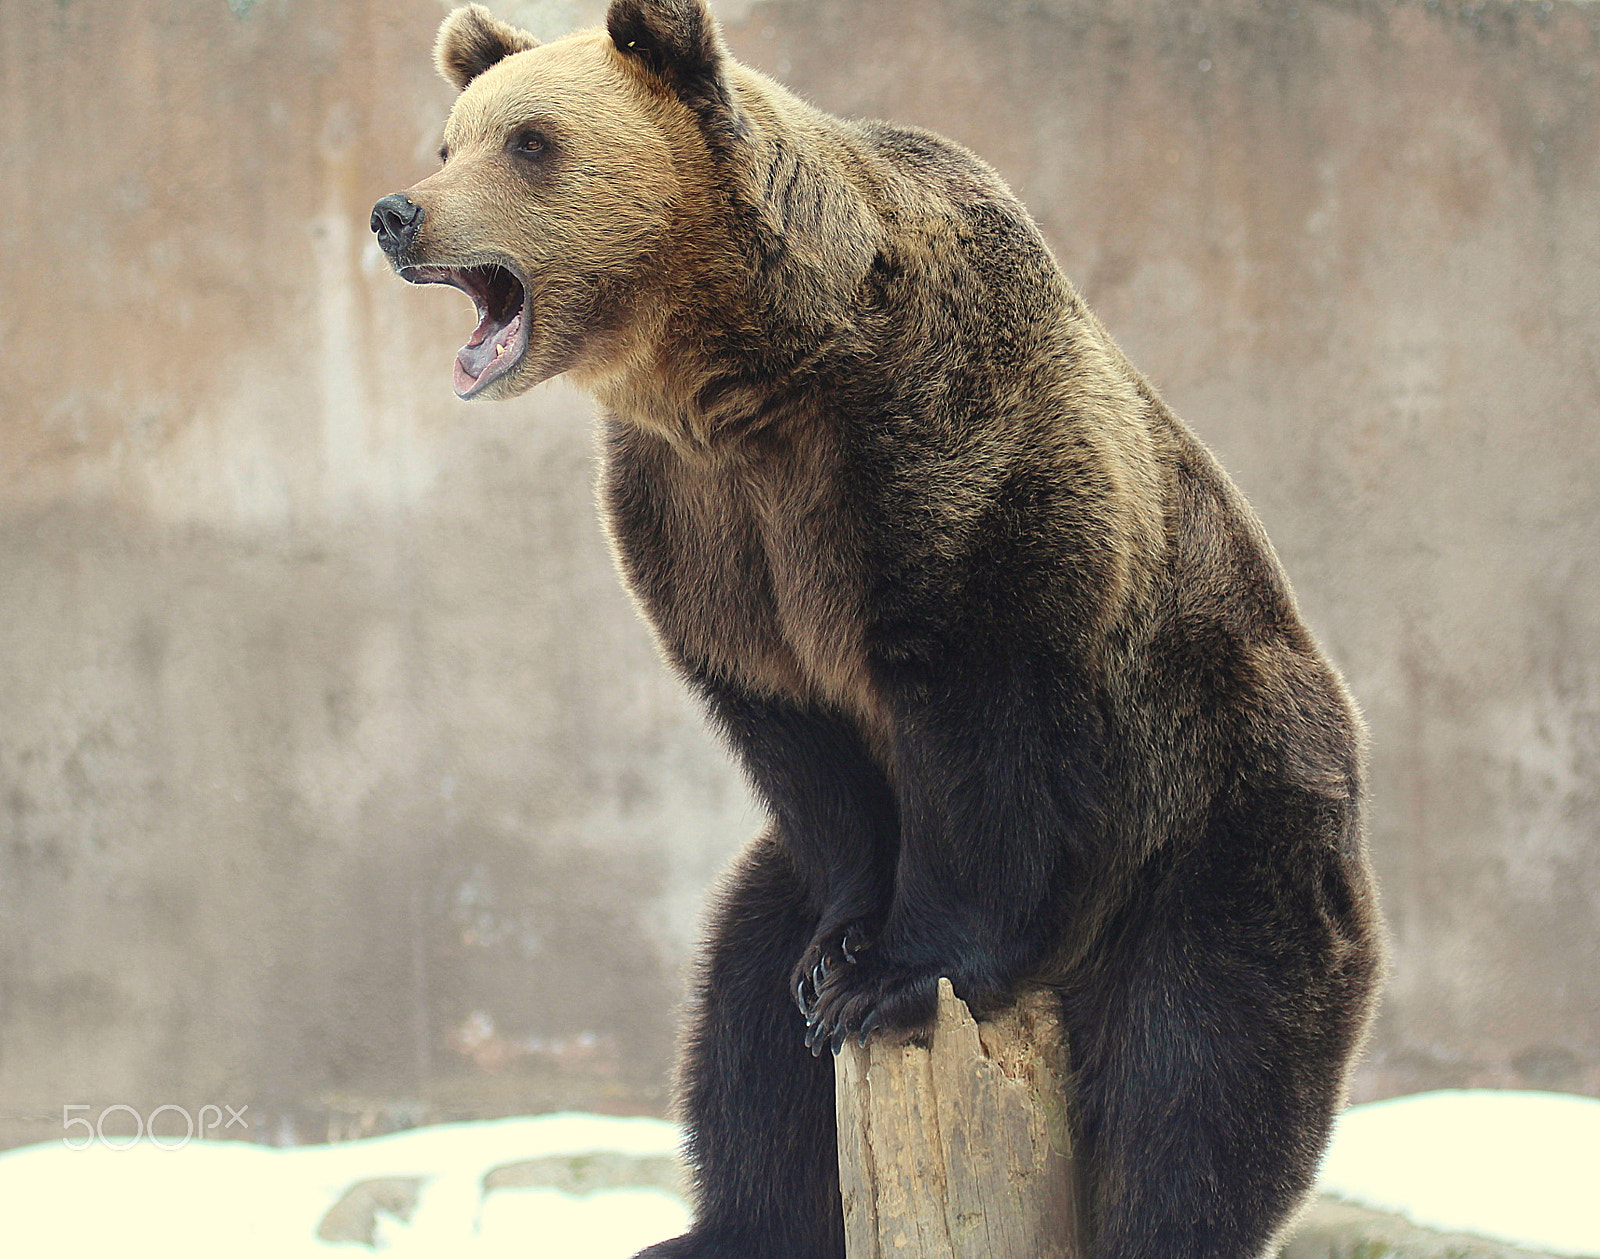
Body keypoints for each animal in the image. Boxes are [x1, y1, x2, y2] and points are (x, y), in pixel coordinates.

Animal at [370, 4, 1384, 1257]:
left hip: (1218, 831)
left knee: (1199, 1076)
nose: (397, 212)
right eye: (449, 138)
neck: (743, 373)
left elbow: (987, 720)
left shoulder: (939, 453)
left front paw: (896, 971)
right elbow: (798, 749)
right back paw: (719, 1214)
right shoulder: (701, 525)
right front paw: (842, 956)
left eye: (530, 142)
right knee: (741, 1009)